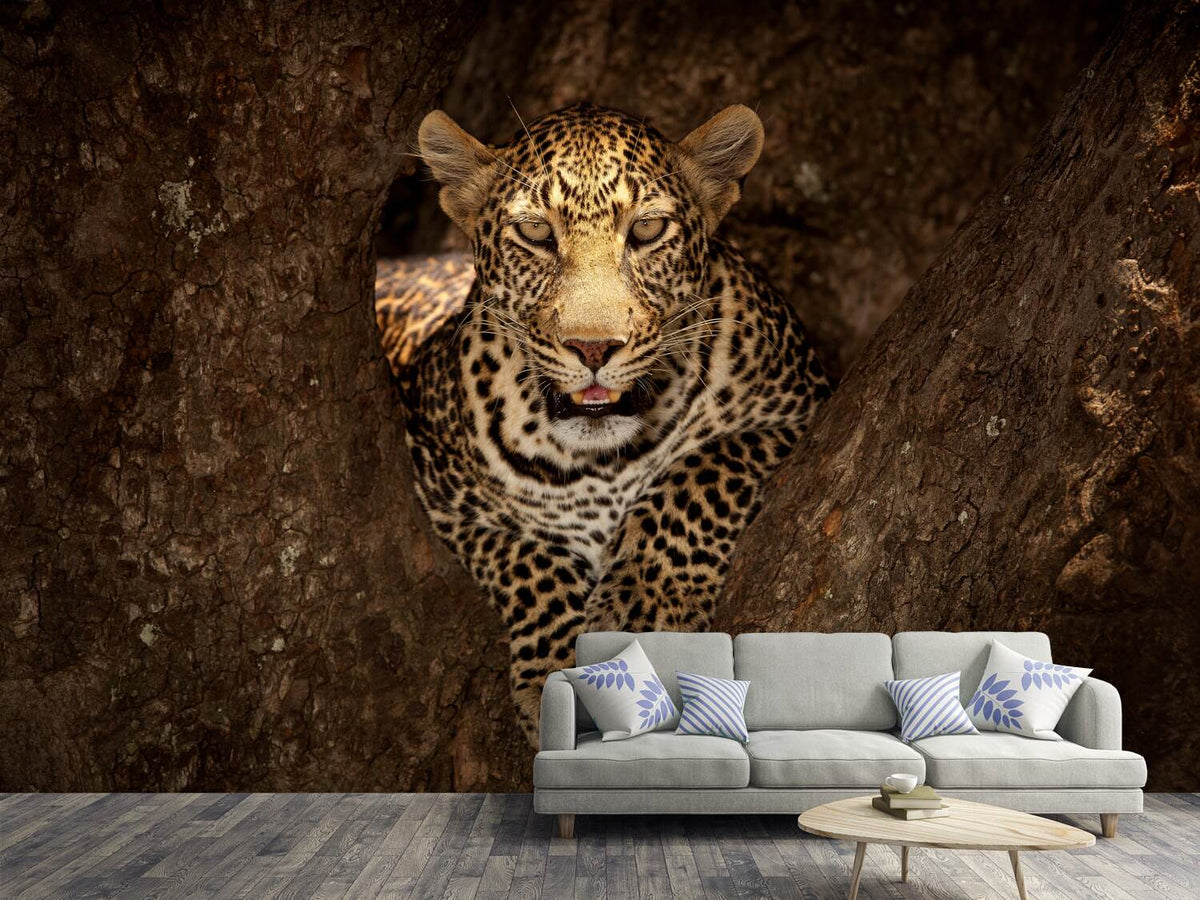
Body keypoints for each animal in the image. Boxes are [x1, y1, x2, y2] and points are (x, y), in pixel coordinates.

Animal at [378, 102, 831, 741]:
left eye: (646, 231)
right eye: (536, 234)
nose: (593, 347)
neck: (601, 462)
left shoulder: (799, 408)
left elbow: (702, 471)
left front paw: (647, 607)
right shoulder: (440, 491)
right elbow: (524, 554)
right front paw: (560, 667)